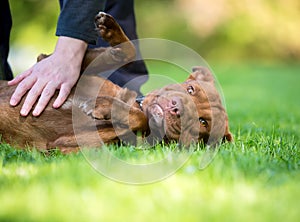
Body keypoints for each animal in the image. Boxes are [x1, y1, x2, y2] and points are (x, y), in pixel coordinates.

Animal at [0, 12, 232, 153]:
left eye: (202, 122)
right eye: (190, 89)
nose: (177, 108)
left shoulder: (65, 146)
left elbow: (140, 118)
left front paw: (101, 106)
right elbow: (128, 51)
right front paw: (110, 28)